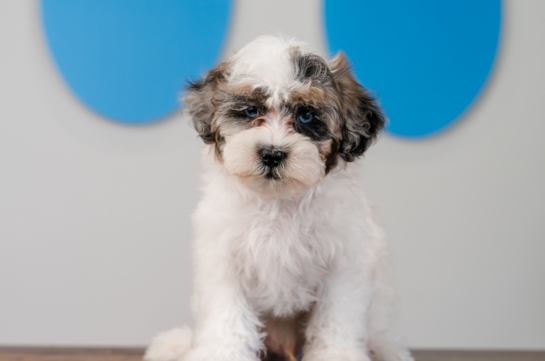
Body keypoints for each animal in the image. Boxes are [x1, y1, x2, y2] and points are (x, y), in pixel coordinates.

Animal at [144, 35, 412, 360]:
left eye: (306, 116)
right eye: (250, 111)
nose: (272, 154)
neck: (279, 201)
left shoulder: (346, 259)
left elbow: (338, 313)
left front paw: (336, 352)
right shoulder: (224, 254)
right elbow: (225, 312)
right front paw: (221, 352)